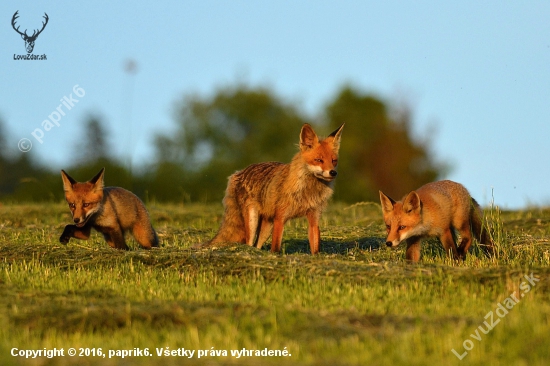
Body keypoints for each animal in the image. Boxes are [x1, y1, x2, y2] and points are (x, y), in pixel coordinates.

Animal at [205, 123, 344, 254]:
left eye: (334, 161)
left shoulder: (314, 218)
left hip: (266, 227)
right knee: (249, 243)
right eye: (319, 160)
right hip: (253, 222)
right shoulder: (280, 218)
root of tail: (238, 173)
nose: (333, 173)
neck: (308, 191)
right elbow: (276, 247)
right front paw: (275, 256)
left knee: (257, 245)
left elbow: (315, 248)